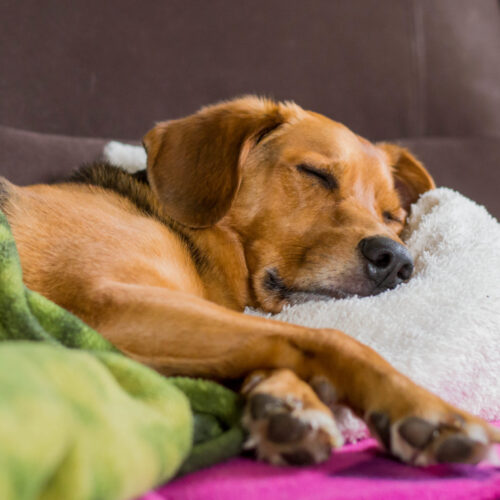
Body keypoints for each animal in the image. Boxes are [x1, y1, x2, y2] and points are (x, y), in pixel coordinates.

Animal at [1, 96, 498, 464]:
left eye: (393, 215)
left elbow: (270, 344)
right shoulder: (109, 306)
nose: (397, 260)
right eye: (315, 174)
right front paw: (425, 409)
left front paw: (287, 400)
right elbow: (330, 339)